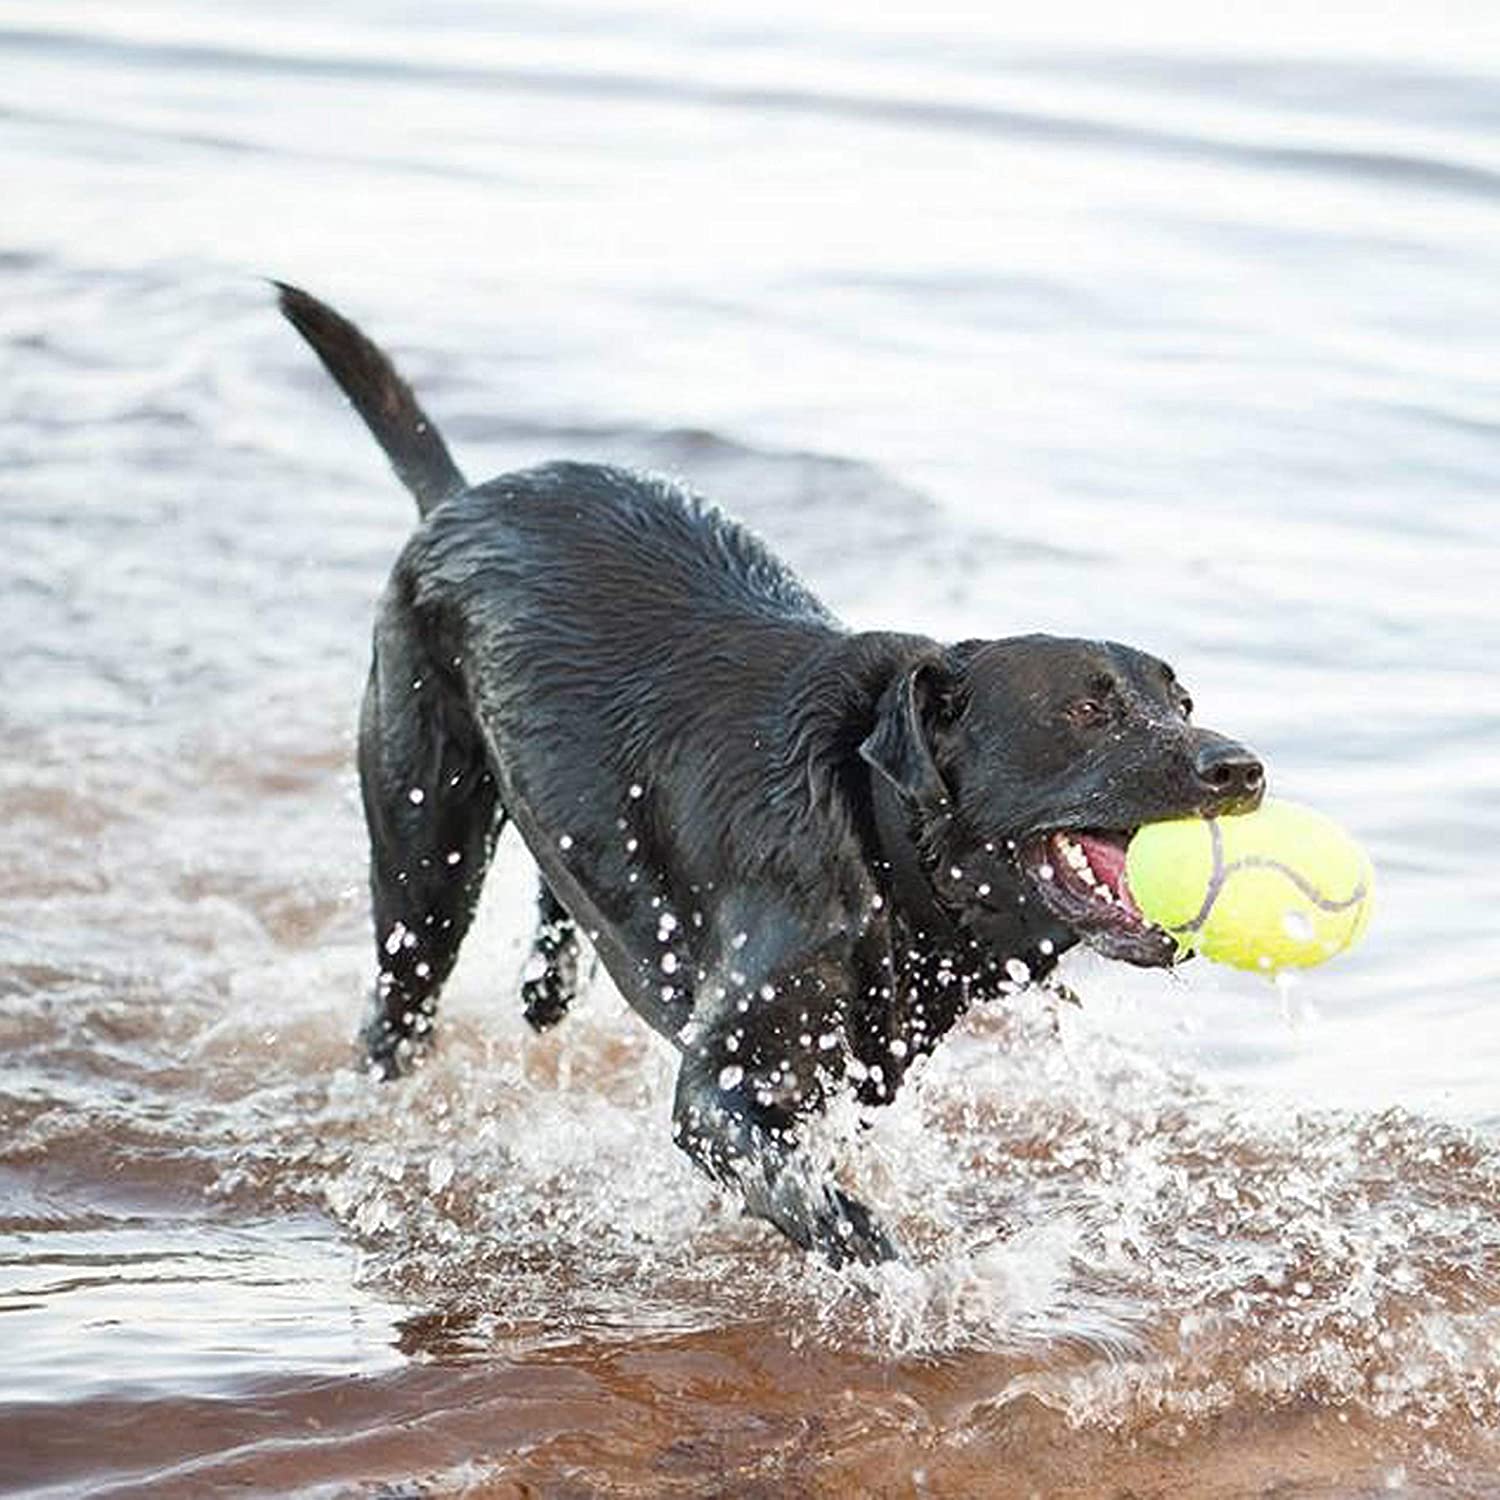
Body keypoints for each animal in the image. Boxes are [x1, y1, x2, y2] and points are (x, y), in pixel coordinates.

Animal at [276, 283, 1260, 1266]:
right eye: (1088, 710)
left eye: (1179, 701)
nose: (1243, 768)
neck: (875, 839)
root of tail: (458, 498)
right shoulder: (721, 1092)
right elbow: (837, 1215)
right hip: (424, 855)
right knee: (398, 1002)